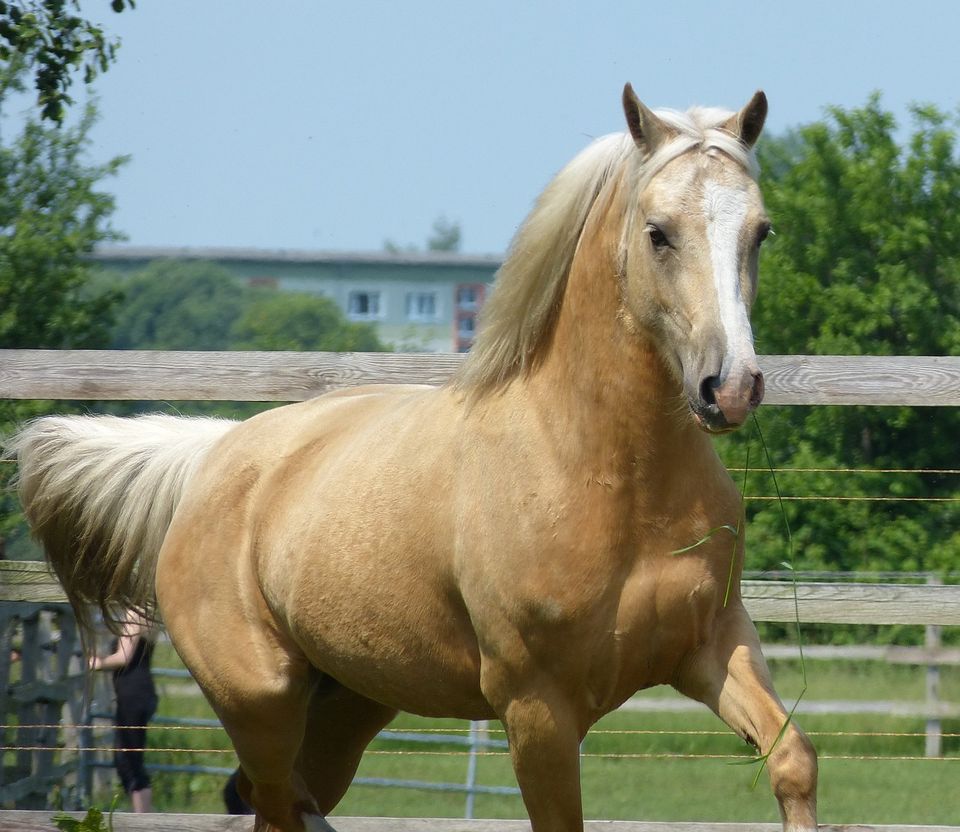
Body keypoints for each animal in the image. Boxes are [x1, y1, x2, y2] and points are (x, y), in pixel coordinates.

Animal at [7, 86, 816, 832]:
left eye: (761, 231)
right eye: (658, 234)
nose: (731, 386)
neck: (605, 475)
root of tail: (211, 459)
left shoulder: (714, 646)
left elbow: (793, 759)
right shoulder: (538, 710)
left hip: (348, 707)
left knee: (287, 803)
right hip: (261, 701)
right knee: (273, 805)